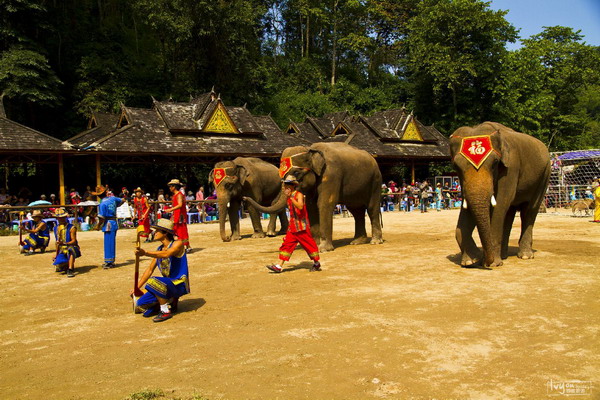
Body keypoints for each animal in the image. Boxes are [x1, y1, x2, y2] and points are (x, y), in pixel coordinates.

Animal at [244, 142, 384, 252]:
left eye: (296, 172)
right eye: (281, 175)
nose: (244, 198)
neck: (310, 150)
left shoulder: (331, 174)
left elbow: (324, 204)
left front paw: (324, 249)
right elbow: (311, 207)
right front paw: (314, 245)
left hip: (375, 181)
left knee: (371, 208)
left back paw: (375, 241)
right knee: (356, 211)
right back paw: (357, 241)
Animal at [448, 120, 552, 268]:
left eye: (495, 163)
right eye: (456, 167)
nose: (484, 260)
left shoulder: (511, 167)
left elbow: (500, 205)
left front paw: (492, 264)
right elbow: (467, 207)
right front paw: (470, 261)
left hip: (545, 175)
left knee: (529, 210)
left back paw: (525, 256)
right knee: (509, 213)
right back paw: (503, 256)